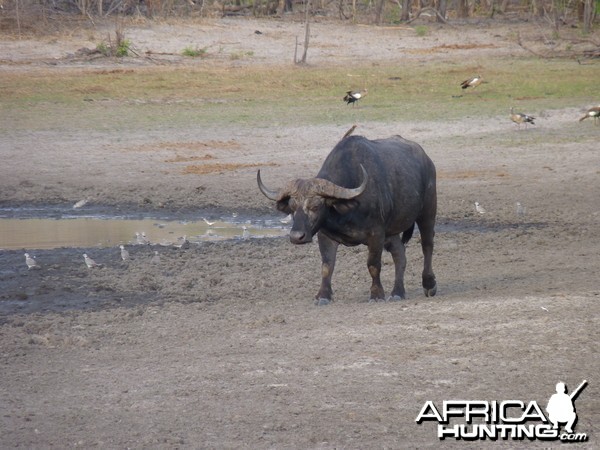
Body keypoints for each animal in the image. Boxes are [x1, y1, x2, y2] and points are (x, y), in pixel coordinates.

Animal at [256, 134, 436, 306]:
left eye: (316, 206)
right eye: (292, 207)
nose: (296, 237)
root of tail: (427, 160)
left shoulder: (376, 234)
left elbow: (373, 265)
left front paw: (376, 295)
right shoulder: (325, 235)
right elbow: (327, 266)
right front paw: (323, 296)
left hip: (427, 212)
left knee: (427, 245)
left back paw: (429, 284)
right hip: (391, 232)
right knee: (400, 254)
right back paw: (397, 292)